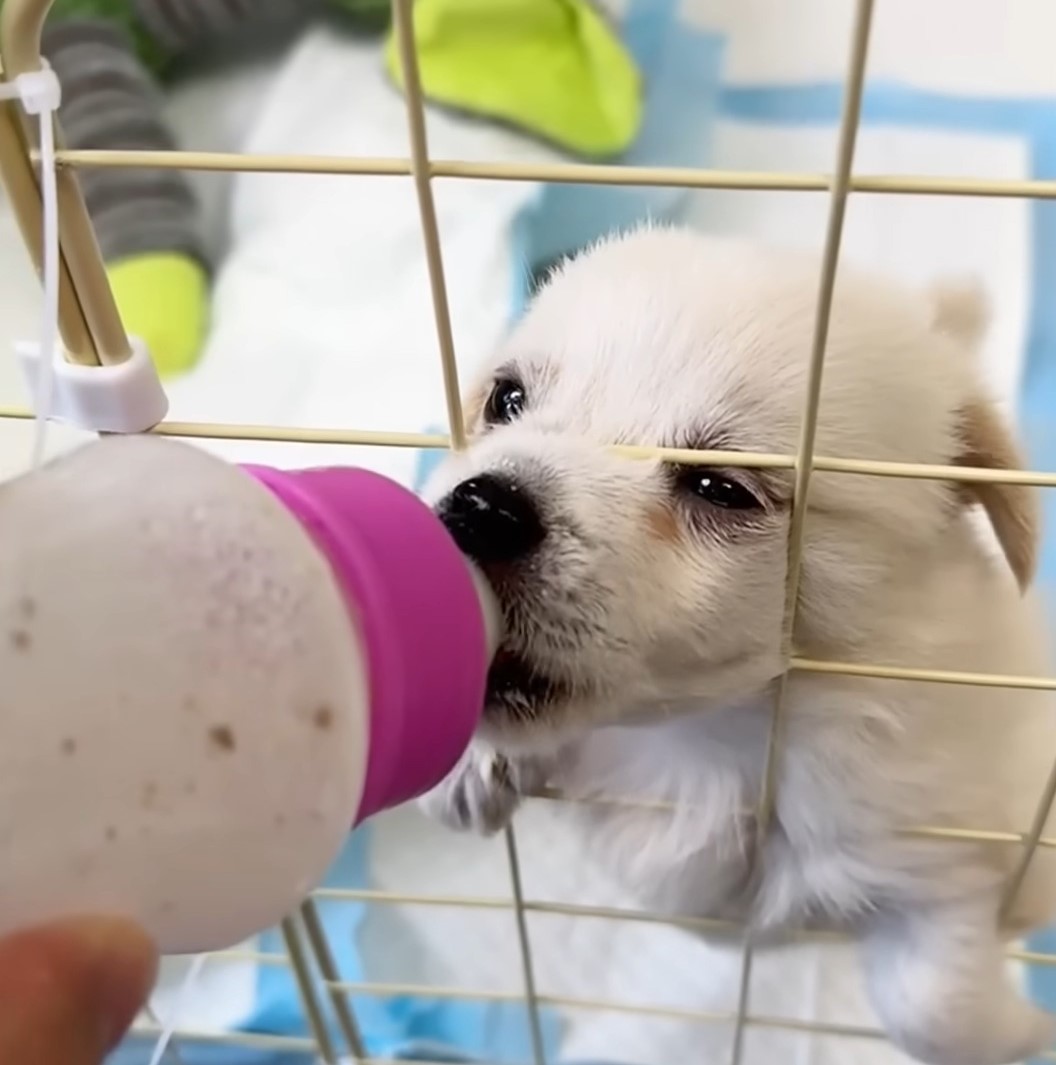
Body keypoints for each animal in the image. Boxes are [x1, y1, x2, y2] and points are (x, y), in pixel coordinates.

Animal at [417, 226, 1051, 1065]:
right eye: (506, 399)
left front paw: (1027, 1028)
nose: (481, 507)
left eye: (721, 487)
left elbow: (933, 1003)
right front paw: (469, 761)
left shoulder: (937, 857)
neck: (708, 747)